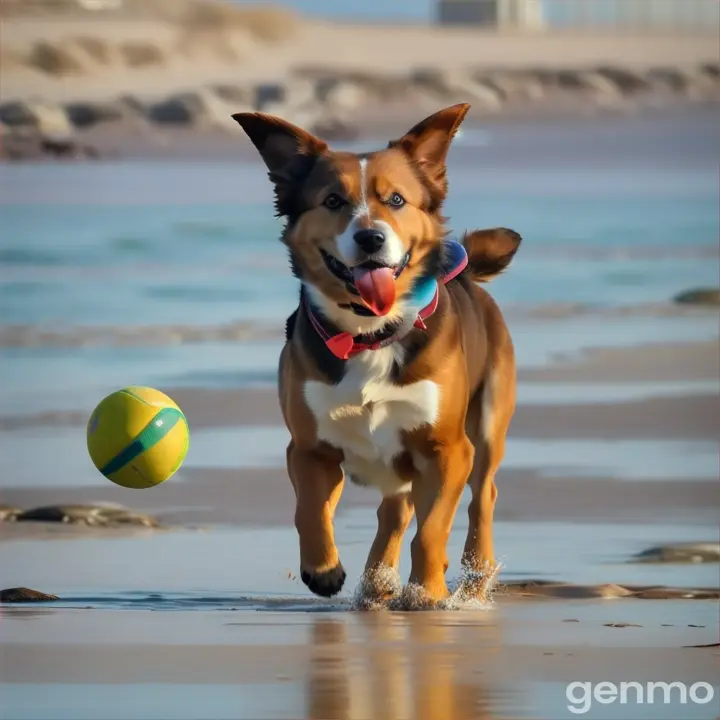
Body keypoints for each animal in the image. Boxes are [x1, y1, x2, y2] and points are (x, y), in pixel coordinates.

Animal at [233, 104, 520, 604]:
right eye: (332, 201)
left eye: (398, 200)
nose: (370, 239)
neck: (370, 334)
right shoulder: (309, 448)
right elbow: (309, 511)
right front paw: (323, 570)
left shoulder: (447, 449)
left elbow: (432, 529)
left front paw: (427, 592)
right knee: (396, 510)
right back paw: (377, 579)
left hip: (487, 422)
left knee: (482, 495)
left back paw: (473, 573)